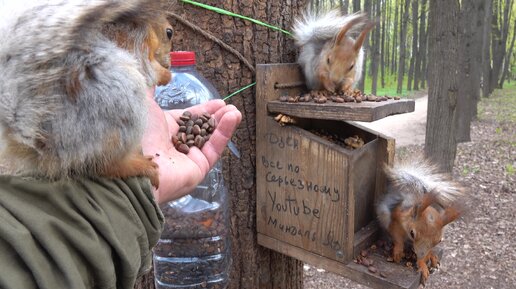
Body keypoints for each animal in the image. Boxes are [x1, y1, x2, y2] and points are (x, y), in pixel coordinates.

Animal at [0, 0, 175, 187]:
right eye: (169, 32)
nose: (169, 64)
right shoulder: (137, 43)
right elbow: (150, 71)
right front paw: (166, 75)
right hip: (120, 100)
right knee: (104, 166)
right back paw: (138, 165)